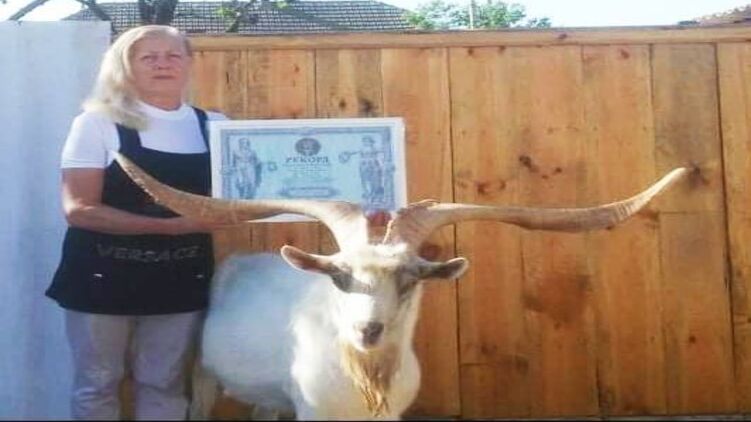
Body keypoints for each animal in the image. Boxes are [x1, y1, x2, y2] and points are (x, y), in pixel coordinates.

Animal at [114, 153, 688, 420]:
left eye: (410, 277)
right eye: (340, 275)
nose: (368, 330)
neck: (364, 377)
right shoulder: (312, 411)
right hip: (202, 376)